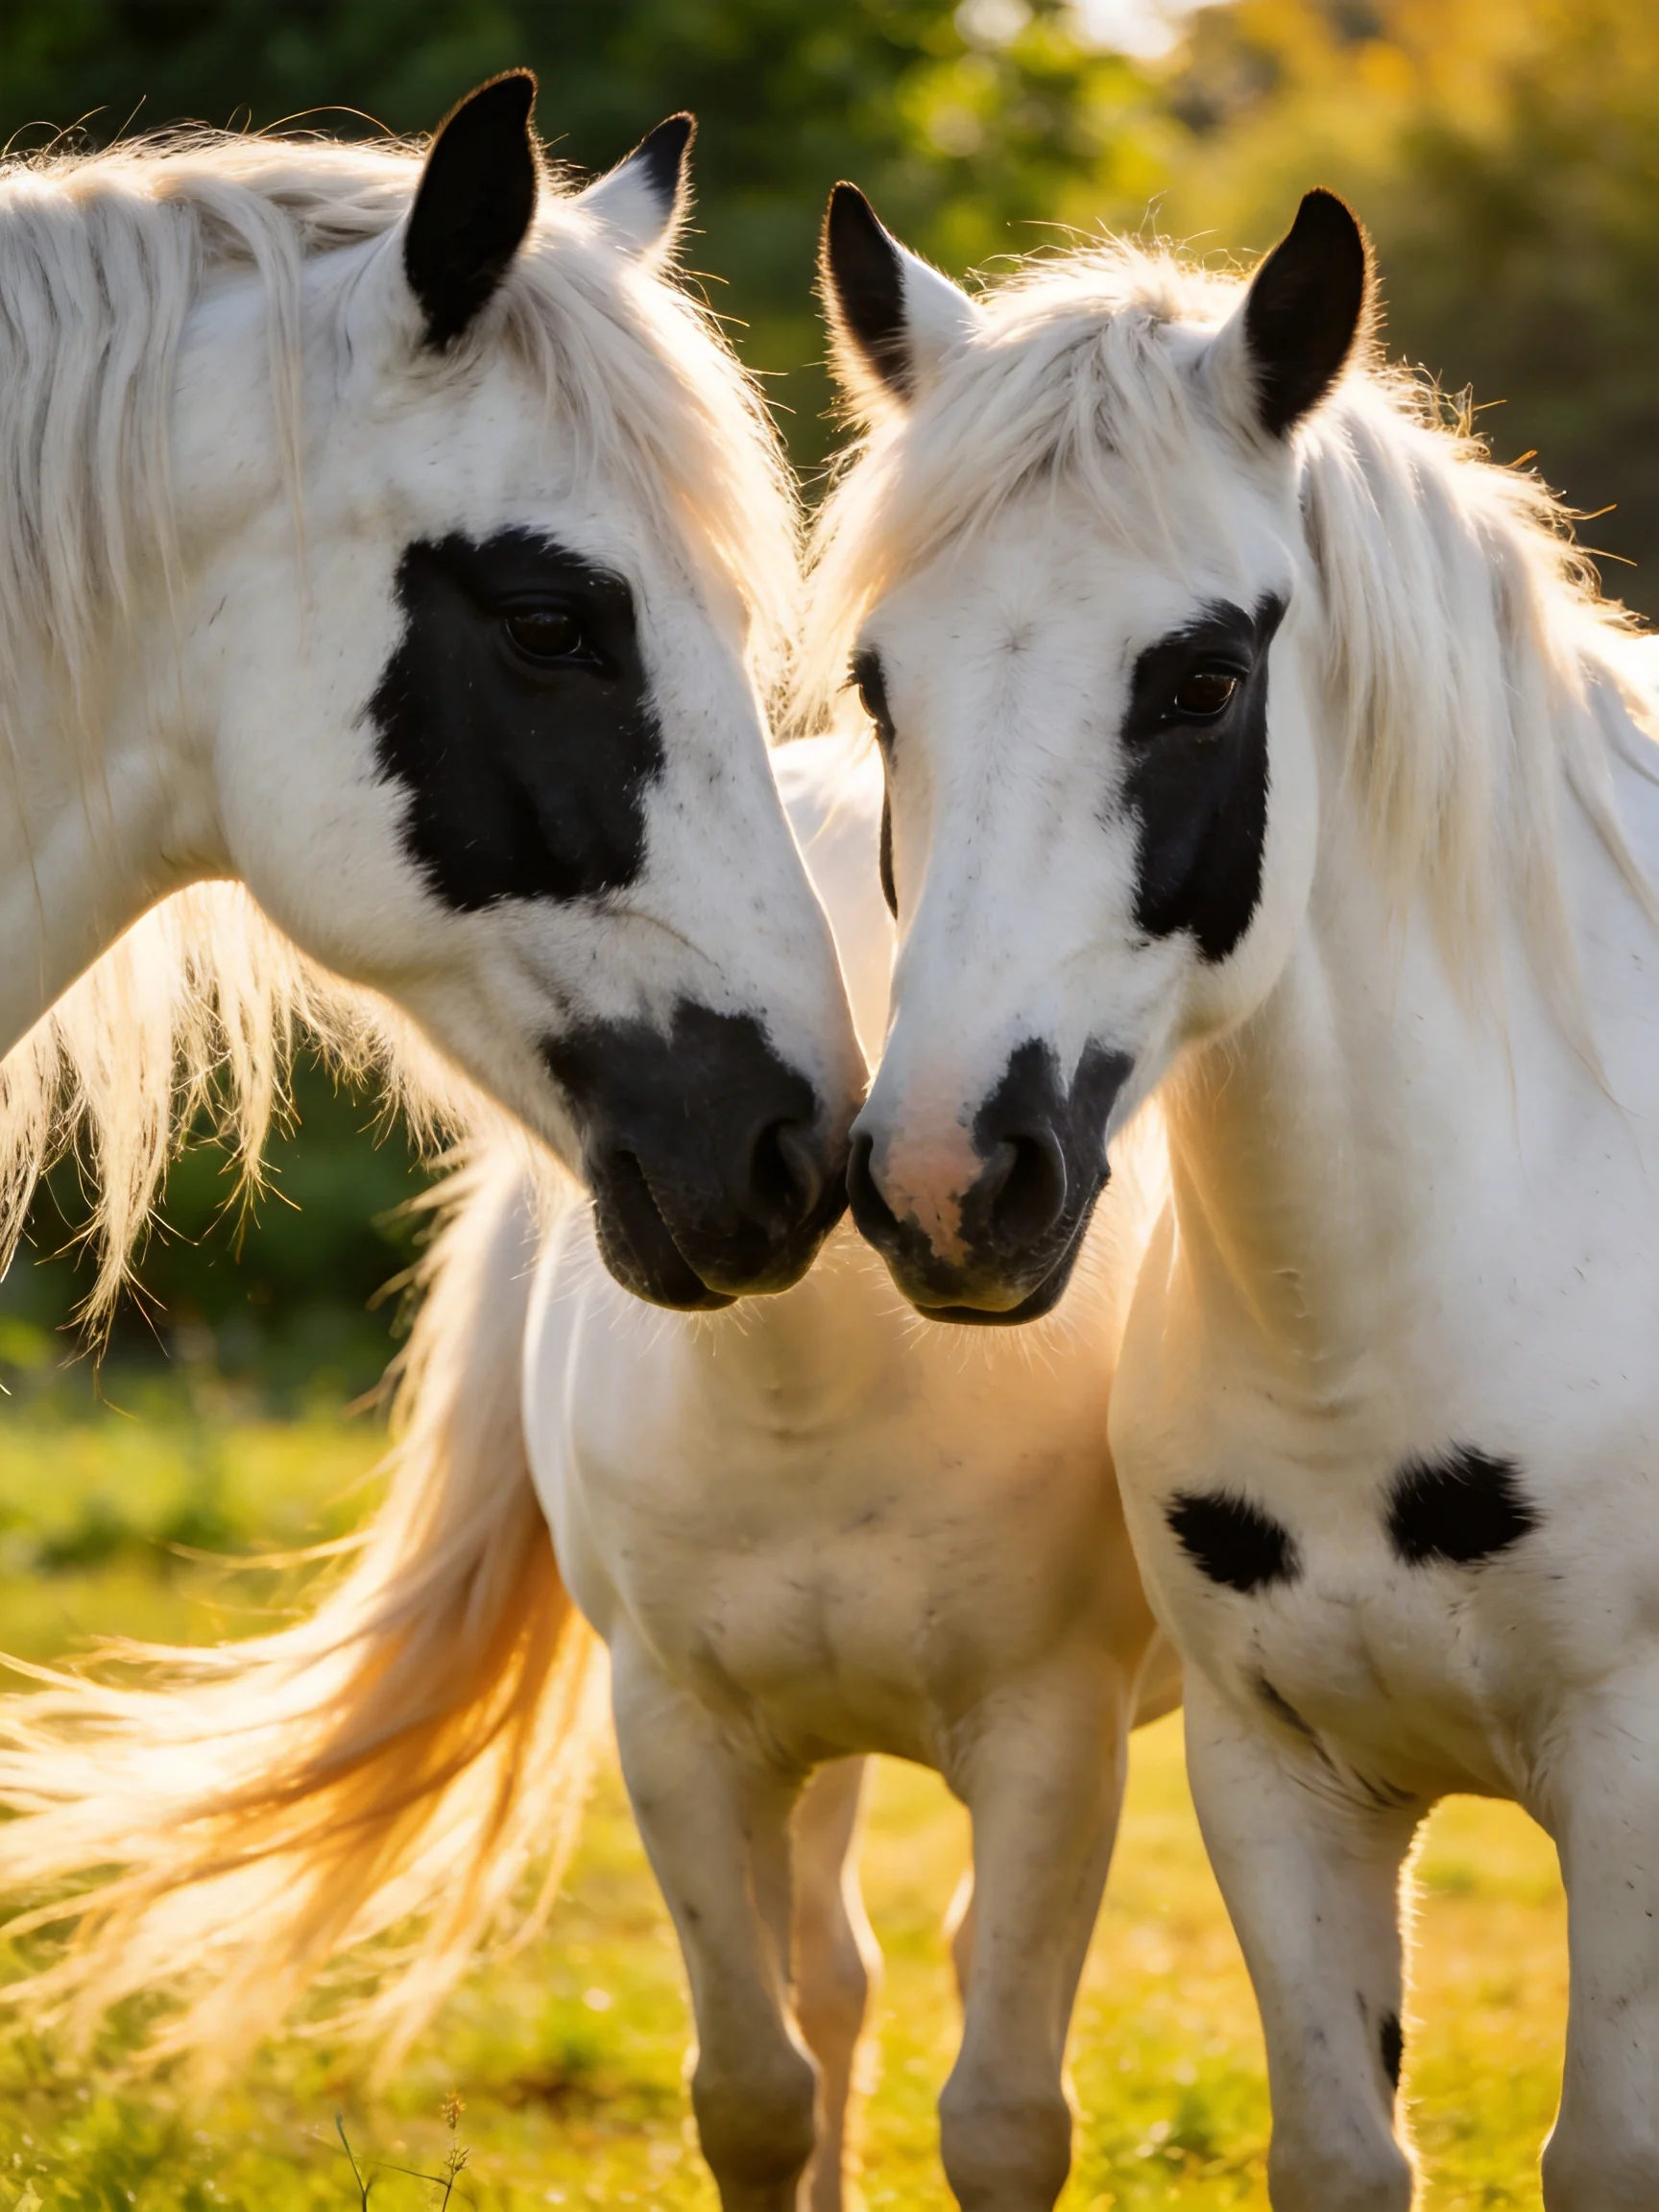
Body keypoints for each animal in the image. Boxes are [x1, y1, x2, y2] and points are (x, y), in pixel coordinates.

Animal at [0, 731, 1179, 2212]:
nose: (812, 1157)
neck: (814, 1399)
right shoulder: (683, 1739)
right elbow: (754, 2093)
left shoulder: (1052, 1746)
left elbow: (1003, 2121)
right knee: (837, 1976)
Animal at [812, 182, 1659, 2209]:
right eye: (881, 687)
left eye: (1198, 679)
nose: (949, 1179)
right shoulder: (1275, 1780)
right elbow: (1338, 2151)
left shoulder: (1631, 1775)